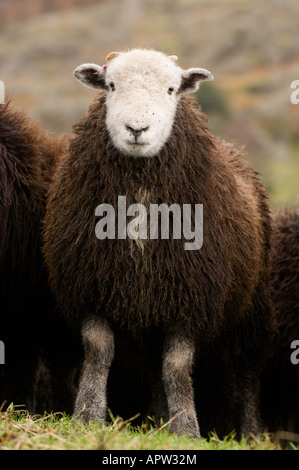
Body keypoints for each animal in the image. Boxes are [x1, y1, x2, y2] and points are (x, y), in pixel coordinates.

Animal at [43, 47, 278, 436]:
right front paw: (88, 416)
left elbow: (178, 367)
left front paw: (187, 430)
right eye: (110, 85)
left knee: (243, 373)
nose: (137, 129)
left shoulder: (191, 296)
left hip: (250, 308)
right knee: (155, 369)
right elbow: (99, 352)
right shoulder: (92, 285)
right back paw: (158, 421)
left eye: (171, 89)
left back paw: (250, 434)